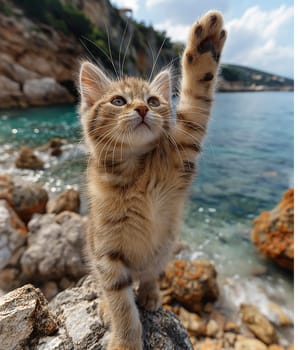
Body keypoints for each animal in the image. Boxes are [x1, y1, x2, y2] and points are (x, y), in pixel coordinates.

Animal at [79, 10, 226, 350]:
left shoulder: (182, 147)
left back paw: (150, 294)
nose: (143, 108)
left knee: (148, 273)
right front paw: (125, 339)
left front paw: (206, 46)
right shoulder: (106, 253)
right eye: (119, 101)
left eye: (156, 101)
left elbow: (196, 102)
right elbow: (120, 302)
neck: (134, 171)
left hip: (163, 247)